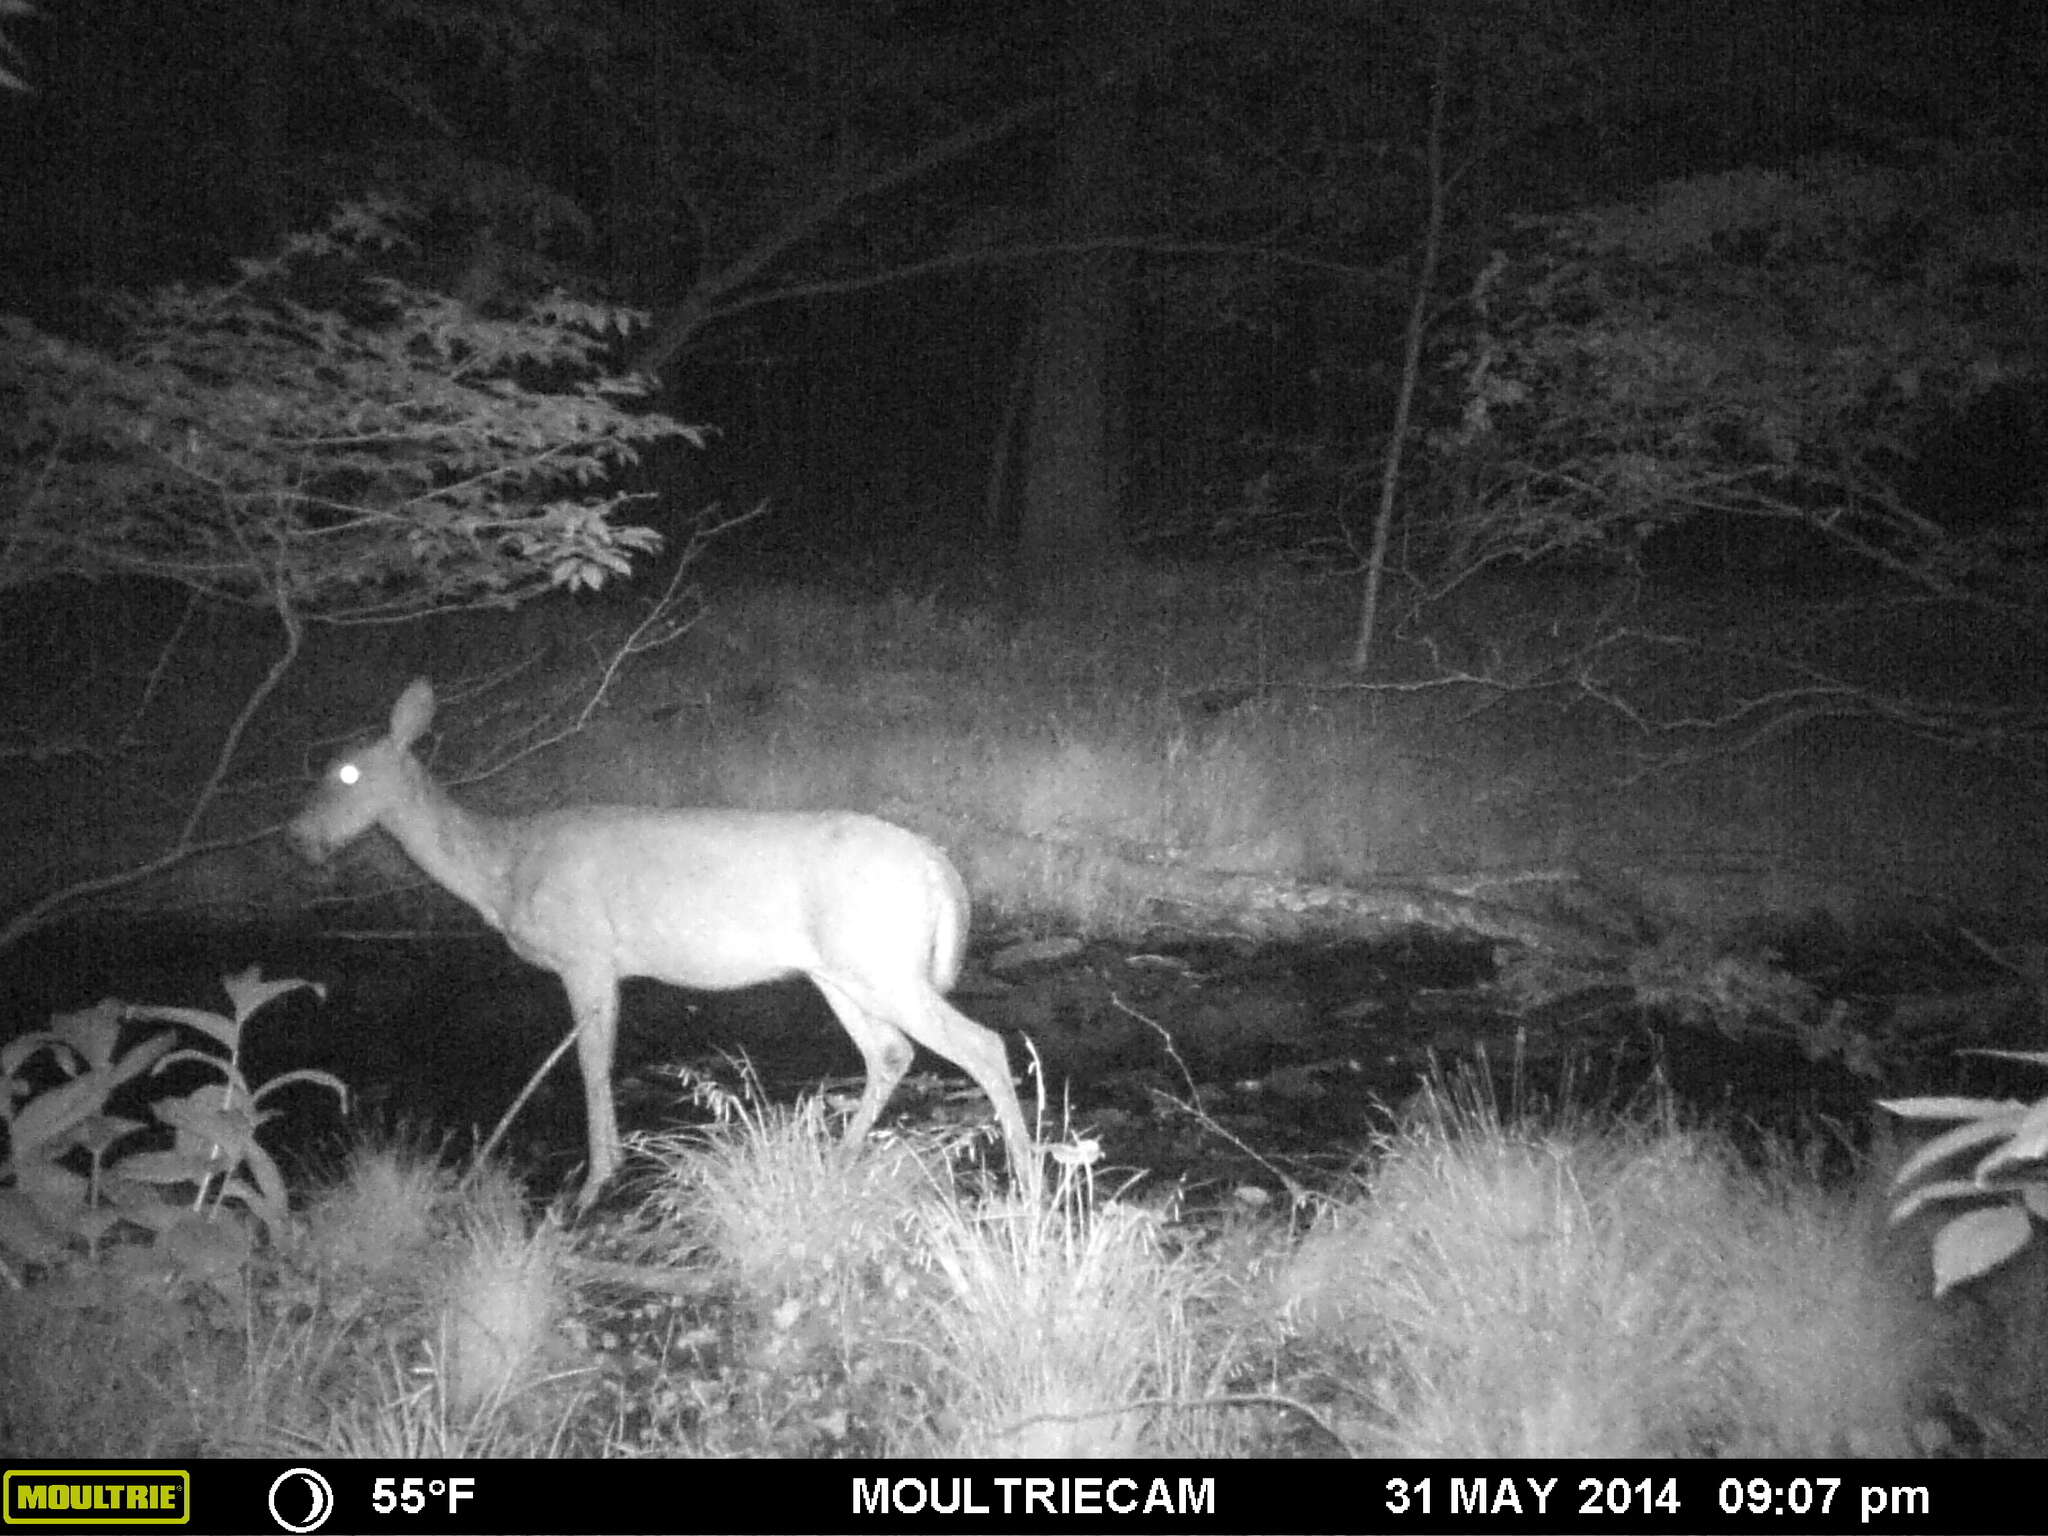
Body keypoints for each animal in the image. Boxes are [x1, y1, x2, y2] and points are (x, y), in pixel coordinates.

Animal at [288, 684, 1032, 1204]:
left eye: (347, 775)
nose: (296, 836)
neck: (504, 868)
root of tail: (940, 869)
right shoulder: (604, 965)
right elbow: (600, 1061)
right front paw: (607, 1168)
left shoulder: (586, 953)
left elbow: (590, 1064)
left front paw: (594, 1182)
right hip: (842, 970)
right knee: (890, 1053)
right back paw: (841, 1160)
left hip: (881, 962)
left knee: (982, 1046)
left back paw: (1026, 1181)